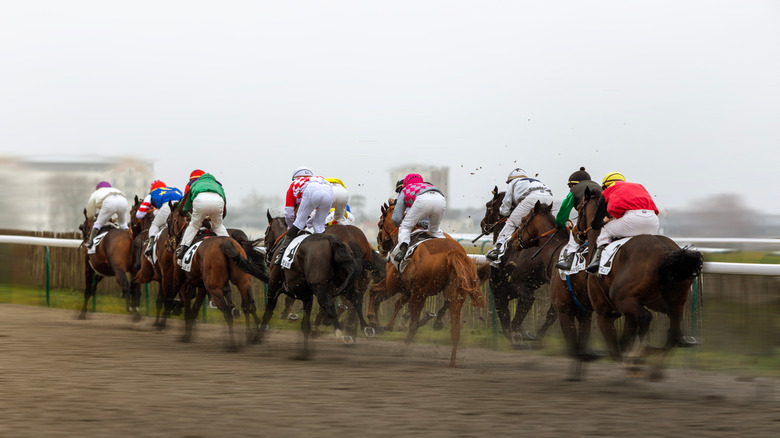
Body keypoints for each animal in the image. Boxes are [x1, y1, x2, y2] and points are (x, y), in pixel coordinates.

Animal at [167, 205, 268, 352]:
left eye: (169, 220)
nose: (169, 243)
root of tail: (226, 244)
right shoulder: (202, 287)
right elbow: (195, 309)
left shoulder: (185, 283)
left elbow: (187, 307)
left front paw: (185, 335)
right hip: (243, 282)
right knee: (248, 305)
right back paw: (254, 336)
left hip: (214, 289)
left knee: (227, 312)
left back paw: (233, 345)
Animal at [256, 214, 366, 358]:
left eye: (266, 233)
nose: (267, 256)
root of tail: (334, 242)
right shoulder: (306, 296)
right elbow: (305, 325)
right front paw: (304, 352)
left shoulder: (273, 288)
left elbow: (267, 314)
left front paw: (257, 338)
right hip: (343, 281)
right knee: (355, 298)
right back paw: (365, 327)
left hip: (320, 288)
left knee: (329, 306)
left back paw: (340, 334)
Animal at [374, 200, 484, 368]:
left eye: (380, 223)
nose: (380, 246)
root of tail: (453, 253)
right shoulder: (408, 288)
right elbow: (398, 303)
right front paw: (388, 324)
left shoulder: (392, 284)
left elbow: (375, 292)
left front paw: (373, 320)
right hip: (456, 295)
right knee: (455, 329)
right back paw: (452, 361)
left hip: (420, 294)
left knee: (413, 325)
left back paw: (402, 349)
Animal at [478, 186, 556, 344]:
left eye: (488, 205)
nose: (483, 224)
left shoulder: (500, 291)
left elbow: (506, 320)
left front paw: (515, 334)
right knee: (553, 311)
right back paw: (536, 335)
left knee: (529, 301)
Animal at [512, 199, 708, 380]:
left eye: (523, 220)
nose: (512, 240)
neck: (556, 255)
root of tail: (666, 251)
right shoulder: (585, 313)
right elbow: (588, 343)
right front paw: (579, 370)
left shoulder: (569, 310)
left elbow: (581, 347)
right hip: (671, 303)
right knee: (672, 332)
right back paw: (656, 365)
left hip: (626, 300)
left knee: (645, 320)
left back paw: (638, 357)